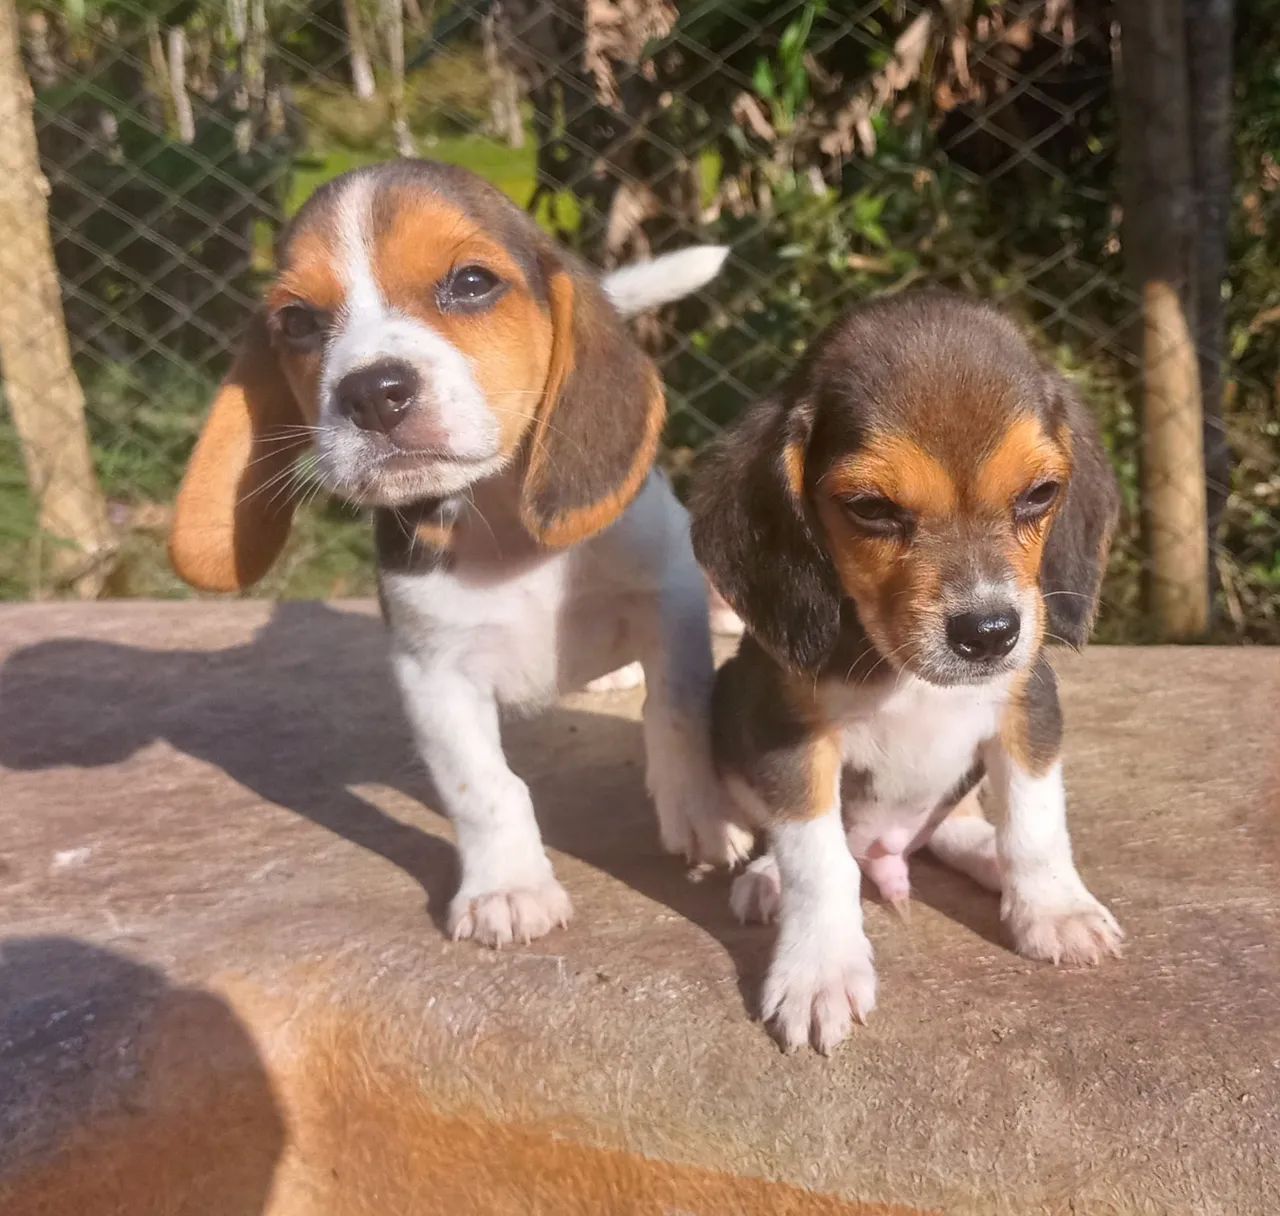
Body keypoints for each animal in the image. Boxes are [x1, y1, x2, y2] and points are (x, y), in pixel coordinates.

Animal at [170, 156, 747, 947]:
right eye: (296, 322)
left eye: (471, 282)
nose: (372, 392)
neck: (504, 532)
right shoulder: (431, 673)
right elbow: (485, 786)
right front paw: (507, 887)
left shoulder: (668, 600)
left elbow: (678, 714)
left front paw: (703, 817)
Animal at [691, 293, 1121, 1054]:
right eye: (871, 509)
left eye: (1040, 494)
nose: (989, 633)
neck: (901, 670)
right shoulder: (788, 735)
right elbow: (817, 859)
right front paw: (819, 970)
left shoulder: (1029, 706)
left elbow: (1036, 823)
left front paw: (1052, 908)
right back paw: (767, 879)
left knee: (954, 826)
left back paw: (989, 859)